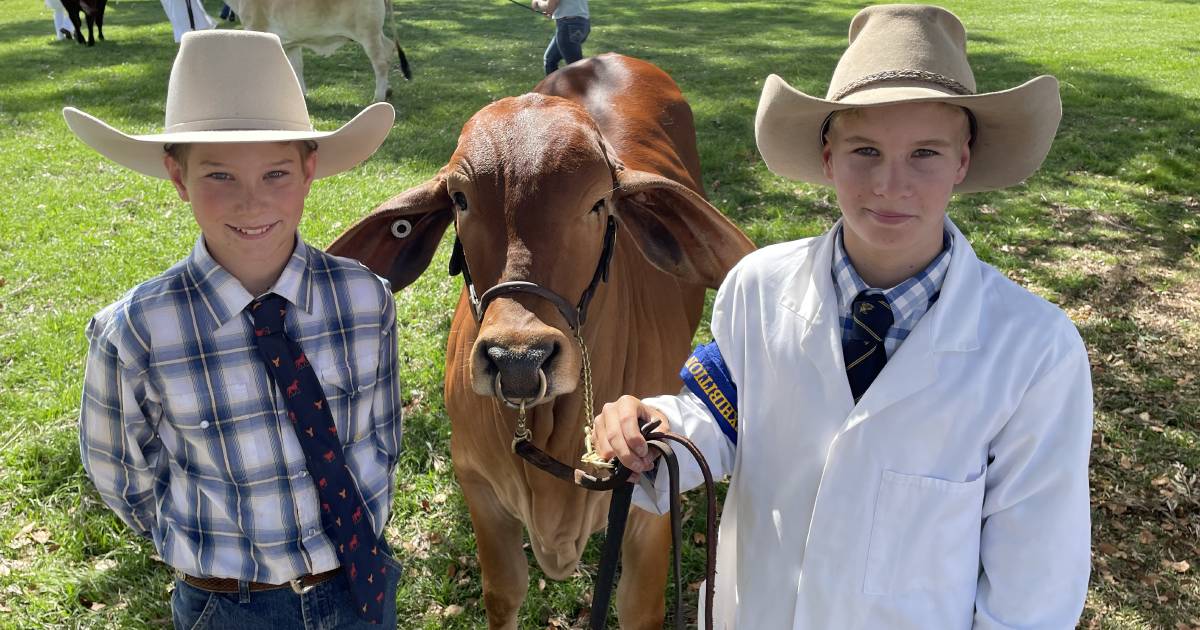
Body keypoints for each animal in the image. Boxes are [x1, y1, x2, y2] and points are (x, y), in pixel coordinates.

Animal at [225, 0, 412, 102]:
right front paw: (301, 95)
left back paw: (378, 98)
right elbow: (296, 67)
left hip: (368, 34)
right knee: (389, 49)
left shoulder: (256, 27)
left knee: (380, 63)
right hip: (376, 34)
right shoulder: (292, 43)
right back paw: (388, 91)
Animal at [326, 52, 748, 624]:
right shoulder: (477, 486)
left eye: (599, 203)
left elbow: (637, 607)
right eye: (460, 199)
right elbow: (504, 592)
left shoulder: (652, 498)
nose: (519, 360)